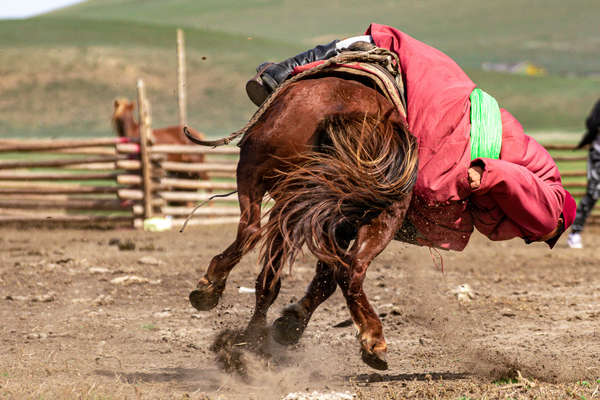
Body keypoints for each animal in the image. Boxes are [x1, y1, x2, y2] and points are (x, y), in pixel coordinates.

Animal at [185, 76, 420, 370]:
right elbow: (322, 277)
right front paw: (287, 326)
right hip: (379, 210)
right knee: (352, 268)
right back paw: (373, 341)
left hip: (259, 175)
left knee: (251, 231)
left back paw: (214, 293)